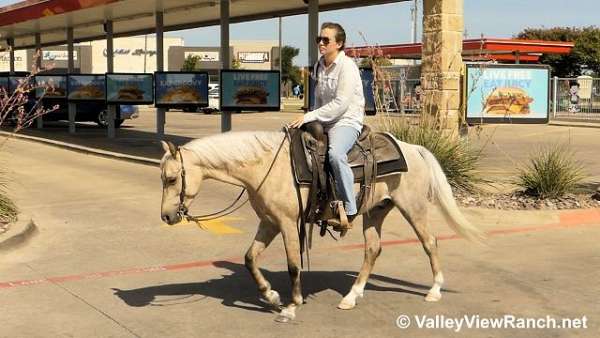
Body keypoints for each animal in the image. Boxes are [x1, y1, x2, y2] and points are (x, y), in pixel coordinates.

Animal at [158, 129, 482, 322]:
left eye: (172, 179)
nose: (166, 217)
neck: (265, 167)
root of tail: (413, 148)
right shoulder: (269, 222)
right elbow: (250, 258)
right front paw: (271, 296)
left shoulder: (288, 223)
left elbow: (292, 264)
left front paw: (291, 305)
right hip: (375, 211)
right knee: (373, 250)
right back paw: (352, 296)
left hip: (413, 208)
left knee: (430, 243)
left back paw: (434, 290)